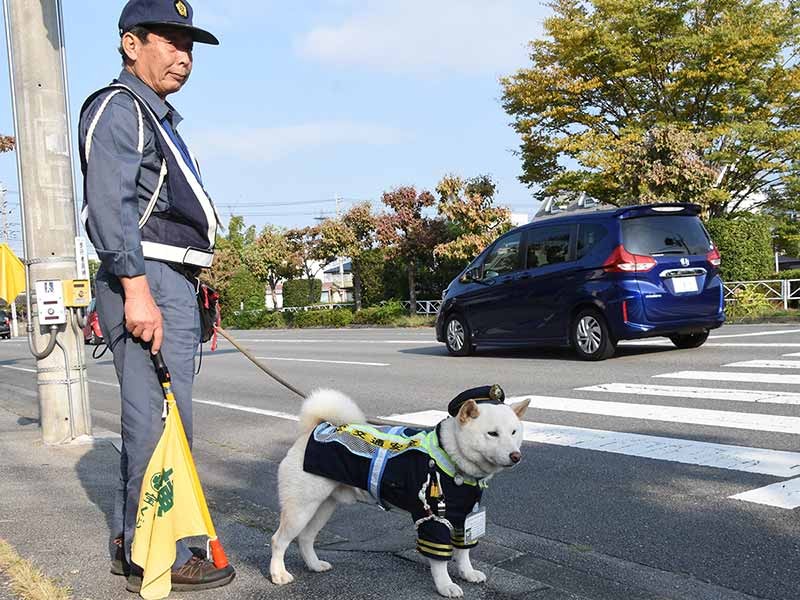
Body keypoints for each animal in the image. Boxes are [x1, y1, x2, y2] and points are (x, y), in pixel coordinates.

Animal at [270, 386, 532, 596]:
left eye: (514, 432)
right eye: (492, 434)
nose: (515, 456)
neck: (452, 458)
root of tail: (315, 429)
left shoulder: (462, 517)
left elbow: (463, 552)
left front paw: (467, 573)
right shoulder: (434, 519)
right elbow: (440, 561)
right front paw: (445, 585)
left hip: (323, 507)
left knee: (305, 538)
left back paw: (314, 565)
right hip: (301, 508)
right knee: (279, 540)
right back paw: (278, 574)